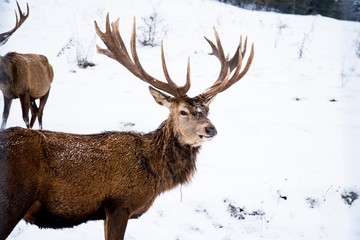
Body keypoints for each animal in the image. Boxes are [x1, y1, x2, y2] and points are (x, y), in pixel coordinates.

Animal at [0, 1, 53, 129]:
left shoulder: (24, 91)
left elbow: (25, 118)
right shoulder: (6, 94)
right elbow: (4, 119)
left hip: (46, 90)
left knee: (40, 112)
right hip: (32, 96)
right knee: (35, 111)